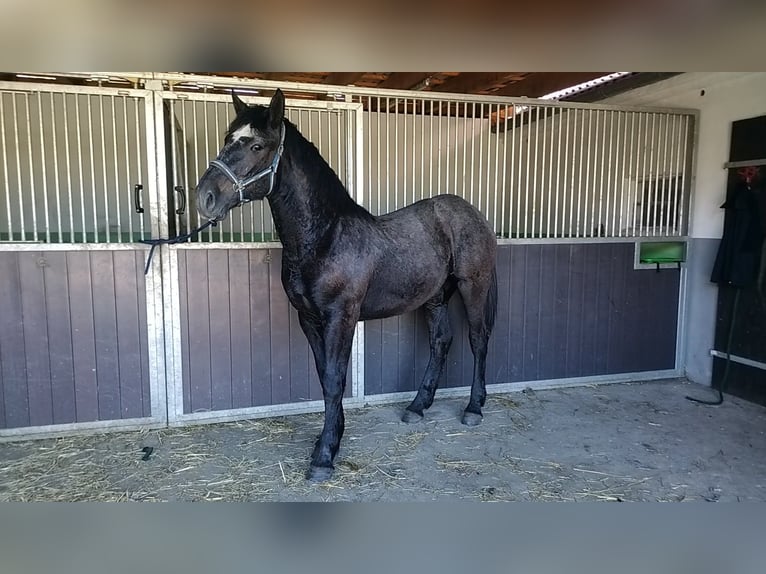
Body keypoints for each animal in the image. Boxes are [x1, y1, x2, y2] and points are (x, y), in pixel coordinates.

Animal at [195, 90, 500, 482]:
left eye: (257, 145)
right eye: (227, 139)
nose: (205, 198)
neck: (325, 236)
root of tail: (472, 214)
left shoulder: (341, 317)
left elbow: (335, 379)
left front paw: (324, 456)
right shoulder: (309, 319)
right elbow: (325, 376)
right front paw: (329, 439)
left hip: (473, 286)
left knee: (478, 340)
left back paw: (474, 408)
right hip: (435, 297)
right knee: (441, 342)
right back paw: (417, 406)